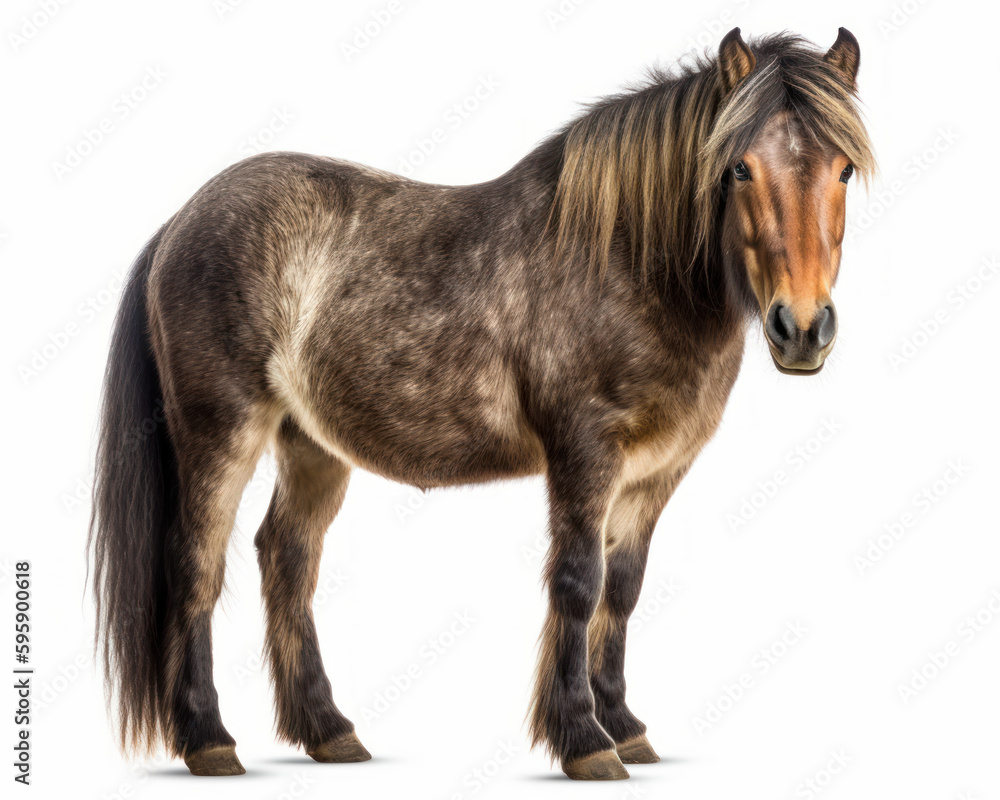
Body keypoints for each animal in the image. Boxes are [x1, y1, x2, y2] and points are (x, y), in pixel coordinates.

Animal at [89, 27, 875, 780]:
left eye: (843, 169)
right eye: (739, 167)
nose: (803, 327)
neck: (623, 260)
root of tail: (180, 221)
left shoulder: (655, 473)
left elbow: (621, 591)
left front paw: (625, 728)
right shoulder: (584, 455)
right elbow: (578, 583)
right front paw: (584, 739)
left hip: (310, 443)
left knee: (286, 559)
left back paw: (329, 731)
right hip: (221, 431)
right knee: (196, 564)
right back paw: (208, 739)